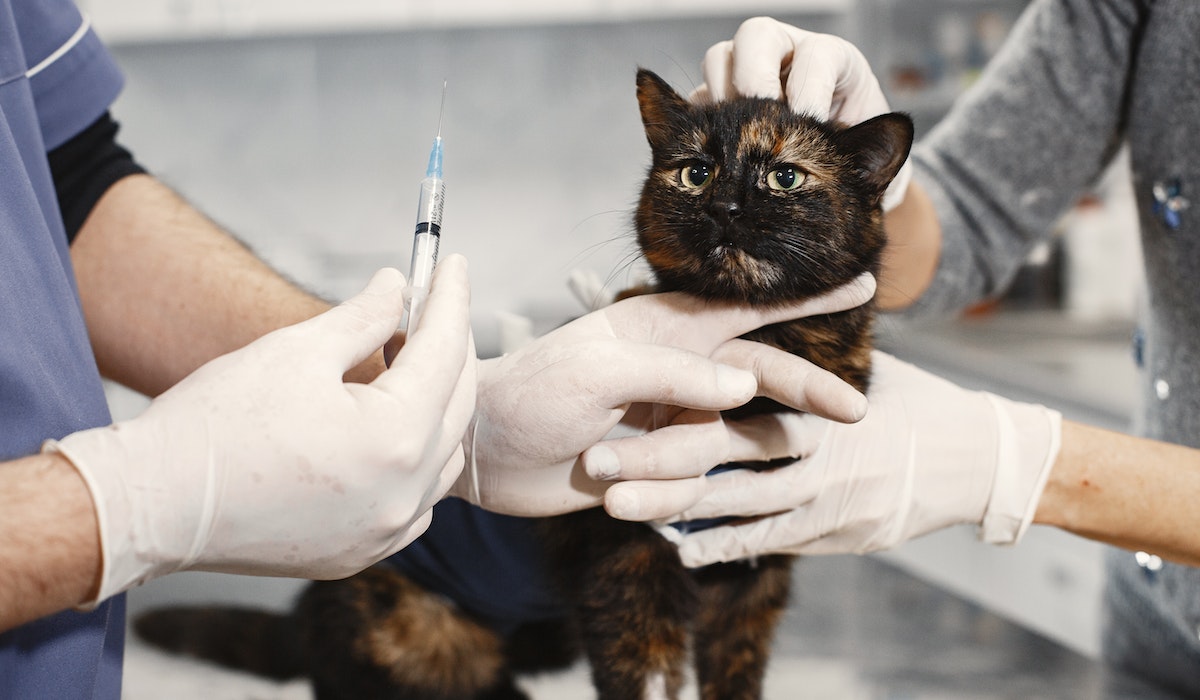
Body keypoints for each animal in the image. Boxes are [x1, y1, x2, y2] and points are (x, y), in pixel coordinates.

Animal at [131, 67, 907, 700]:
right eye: (695, 173)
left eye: (785, 178)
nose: (726, 209)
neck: (757, 352)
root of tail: (306, 617)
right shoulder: (625, 562)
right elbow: (646, 678)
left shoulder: (753, 568)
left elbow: (737, 679)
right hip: (416, 634)